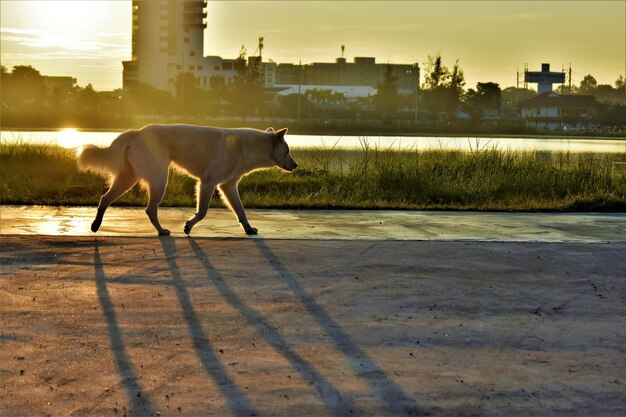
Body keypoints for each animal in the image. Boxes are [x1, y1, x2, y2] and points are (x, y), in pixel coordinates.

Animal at [77, 122, 298, 234]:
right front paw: (188, 226)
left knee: (105, 198)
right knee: (150, 209)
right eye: (287, 150)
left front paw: (249, 228)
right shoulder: (208, 183)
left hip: (128, 178)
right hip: (159, 181)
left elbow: (241, 211)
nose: (296, 166)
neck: (246, 146)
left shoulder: (228, 186)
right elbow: (202, 212)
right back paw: (161, 231)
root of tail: (137, 132)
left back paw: (95, 225)